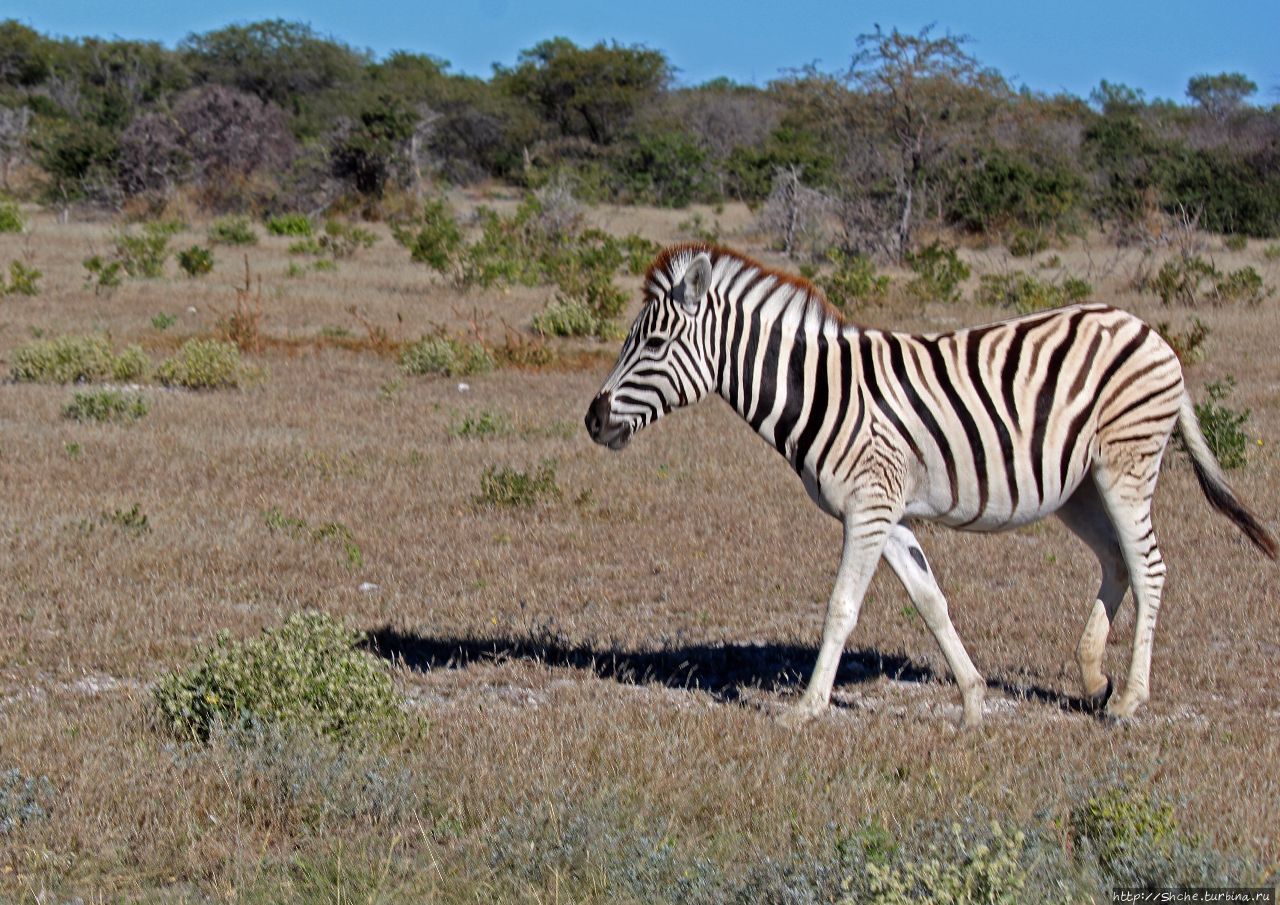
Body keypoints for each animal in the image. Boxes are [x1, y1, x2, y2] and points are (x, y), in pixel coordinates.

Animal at [586, 240, 1274, 727]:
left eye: (653, 343)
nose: (592, 420)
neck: (823, 391)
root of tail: (1150, 332)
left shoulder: (869, 507)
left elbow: (841, 608)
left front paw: (805, 709)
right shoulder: (886, 514)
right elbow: (932, 602)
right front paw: (972, 702)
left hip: (1126, 465)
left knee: (1149, 566)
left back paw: (1130, 699)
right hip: (1077, 486)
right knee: (1116, 560)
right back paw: (1093, 680)